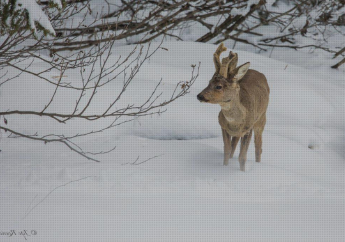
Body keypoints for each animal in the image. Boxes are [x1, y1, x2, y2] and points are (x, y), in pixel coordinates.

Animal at [196, 43, 268, 172]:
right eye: (209, 82)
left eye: (219, 86)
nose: (200, 96)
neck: (235, 122)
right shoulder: (223, 126)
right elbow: (227, 150)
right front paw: (225, 167)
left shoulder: (248, 128)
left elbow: (242, 156)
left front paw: (242, 171)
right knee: (234, 145)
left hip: (261, 119)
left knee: (258, 147)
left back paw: (258, 164)